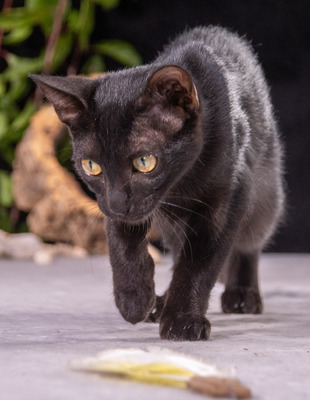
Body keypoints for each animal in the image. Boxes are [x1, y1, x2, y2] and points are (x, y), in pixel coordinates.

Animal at [30, 25, 284, 340]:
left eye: (145, 161)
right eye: (92, 166)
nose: (117, 203)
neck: (180, 183)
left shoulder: (225, 201)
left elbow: (200, 262)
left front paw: (183, 320)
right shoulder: (121, 205)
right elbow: (122, 245)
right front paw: (135, 299)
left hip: (266, 194)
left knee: (249, 242)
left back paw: (241, 294)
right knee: (176, 249)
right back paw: (159, 303)